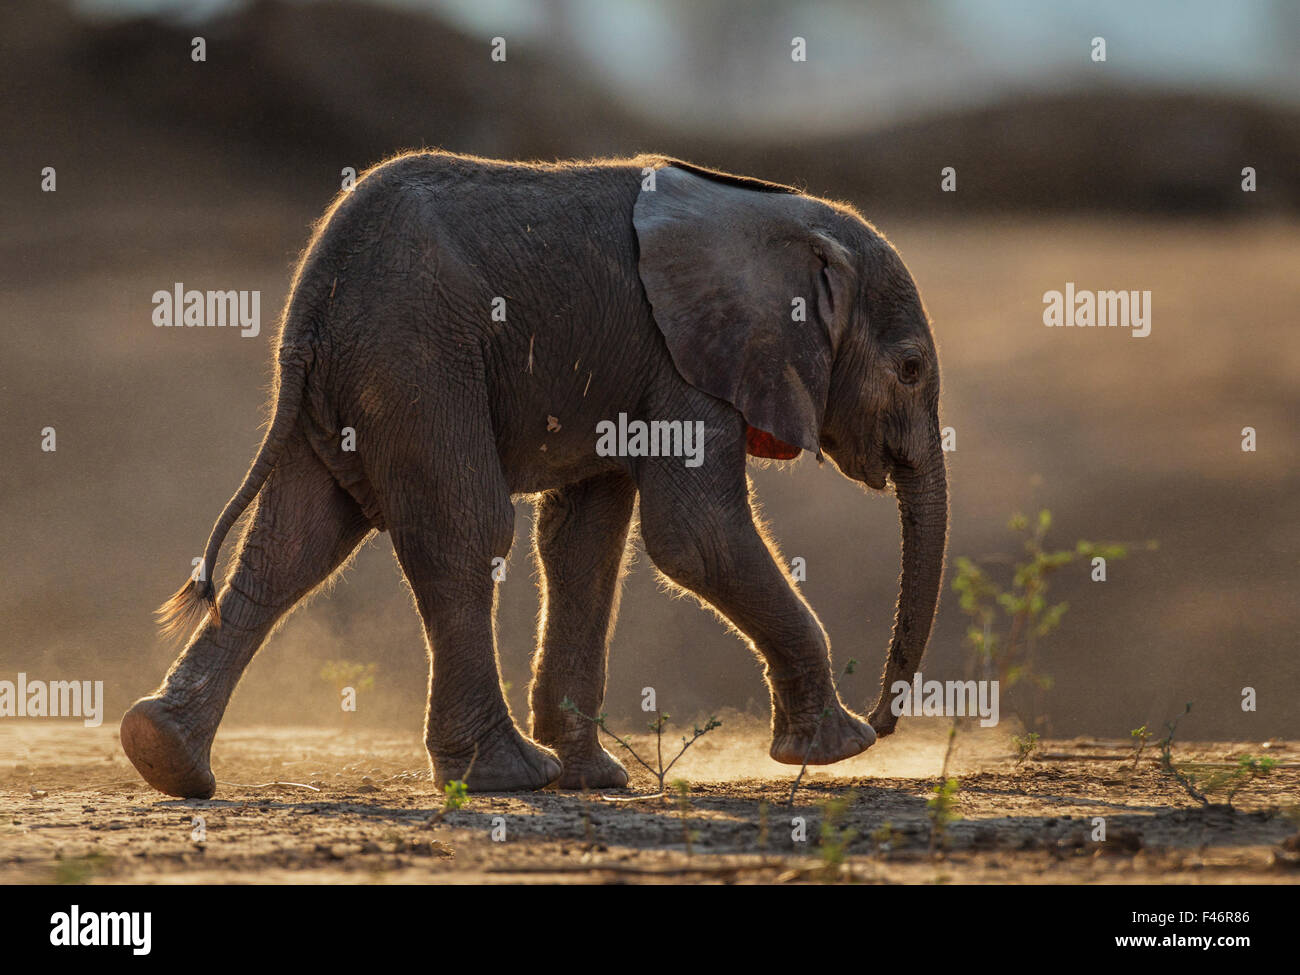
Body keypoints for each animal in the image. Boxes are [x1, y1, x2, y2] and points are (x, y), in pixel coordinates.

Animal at [121, 151, 948, 798]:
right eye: (910, 369)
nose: (886, 719)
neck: (778, 218)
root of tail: (311, 299)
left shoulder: (634, 376)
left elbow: (586, 545)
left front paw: (597, 778)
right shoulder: (687, 361)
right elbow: (694, 537)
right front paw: (840, 747)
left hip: (350, 382)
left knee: (293, 545)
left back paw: (164, 755)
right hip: (415, 361)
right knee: (465, 531)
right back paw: (506, 775)